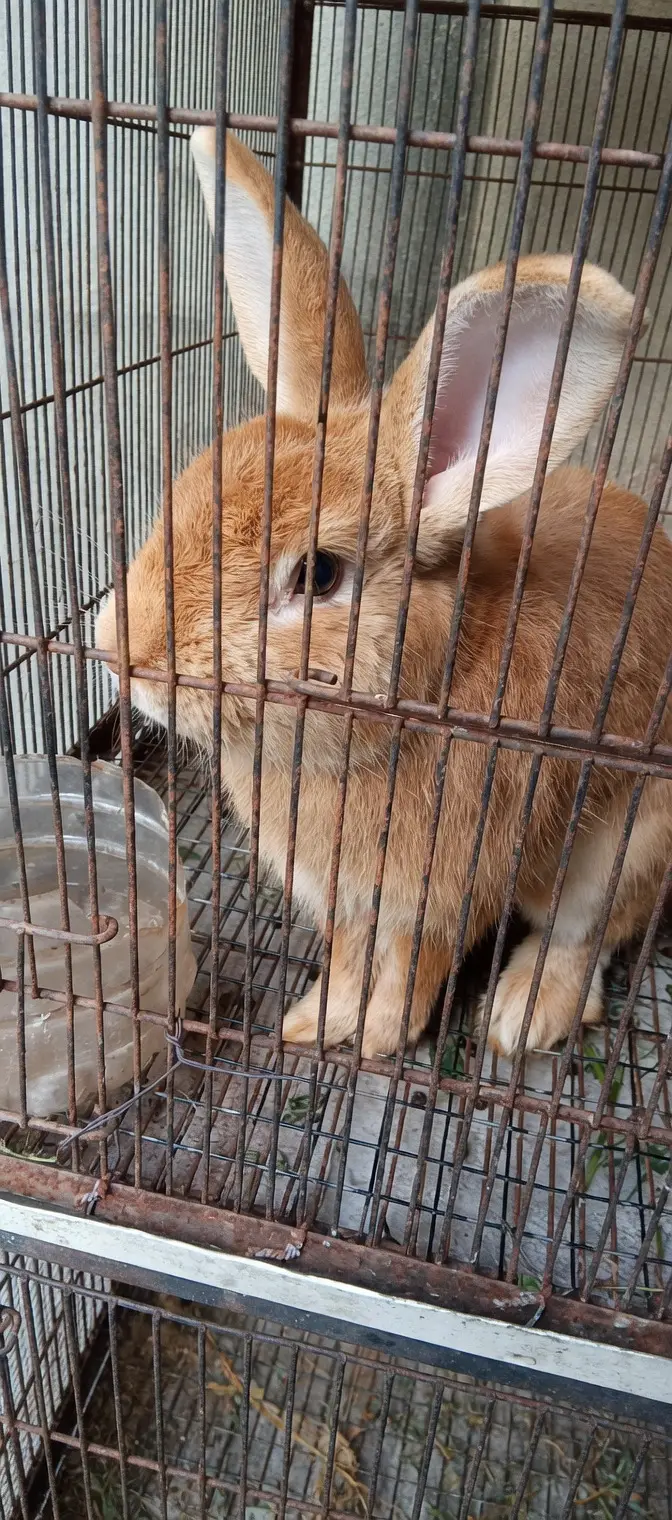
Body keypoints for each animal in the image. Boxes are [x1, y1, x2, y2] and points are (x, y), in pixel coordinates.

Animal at [95, 128, 672, 1061]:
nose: (123, 653)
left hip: (627, 843)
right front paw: (312, 1020)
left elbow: (411, 974)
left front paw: (370, 1040)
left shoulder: (443, 887)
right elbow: (350, 957)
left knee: (587, 934)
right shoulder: (347, 897)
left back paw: (524, 1016)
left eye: (321, 575)